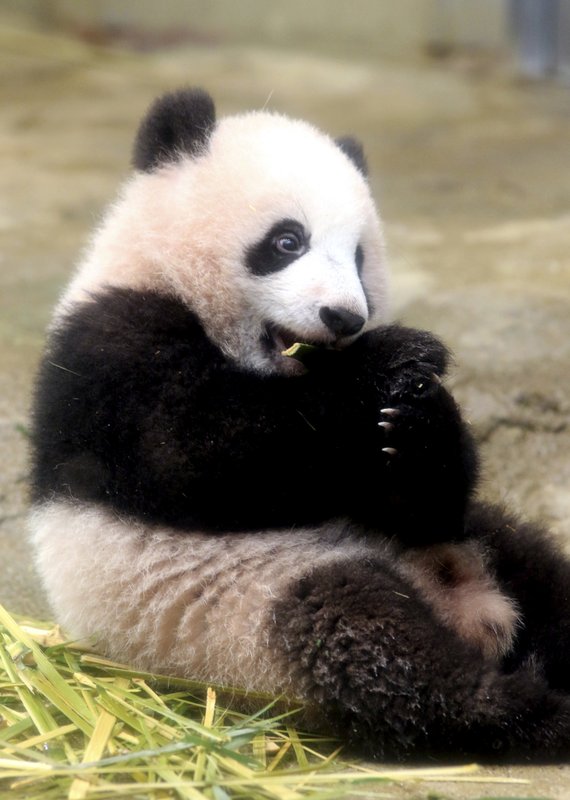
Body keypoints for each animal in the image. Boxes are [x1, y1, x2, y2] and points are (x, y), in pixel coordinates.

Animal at [27, 89, 570, 764]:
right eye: (288, 241)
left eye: (360, 257)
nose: (344, 317)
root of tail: (473, 613)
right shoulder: (110, 348)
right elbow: (203, 450)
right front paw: (395, 357)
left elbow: (414, 500)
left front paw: (420, 425)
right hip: (252, 606)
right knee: (371, 647)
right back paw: (529, 711)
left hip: (479, 542)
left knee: (539, 573)